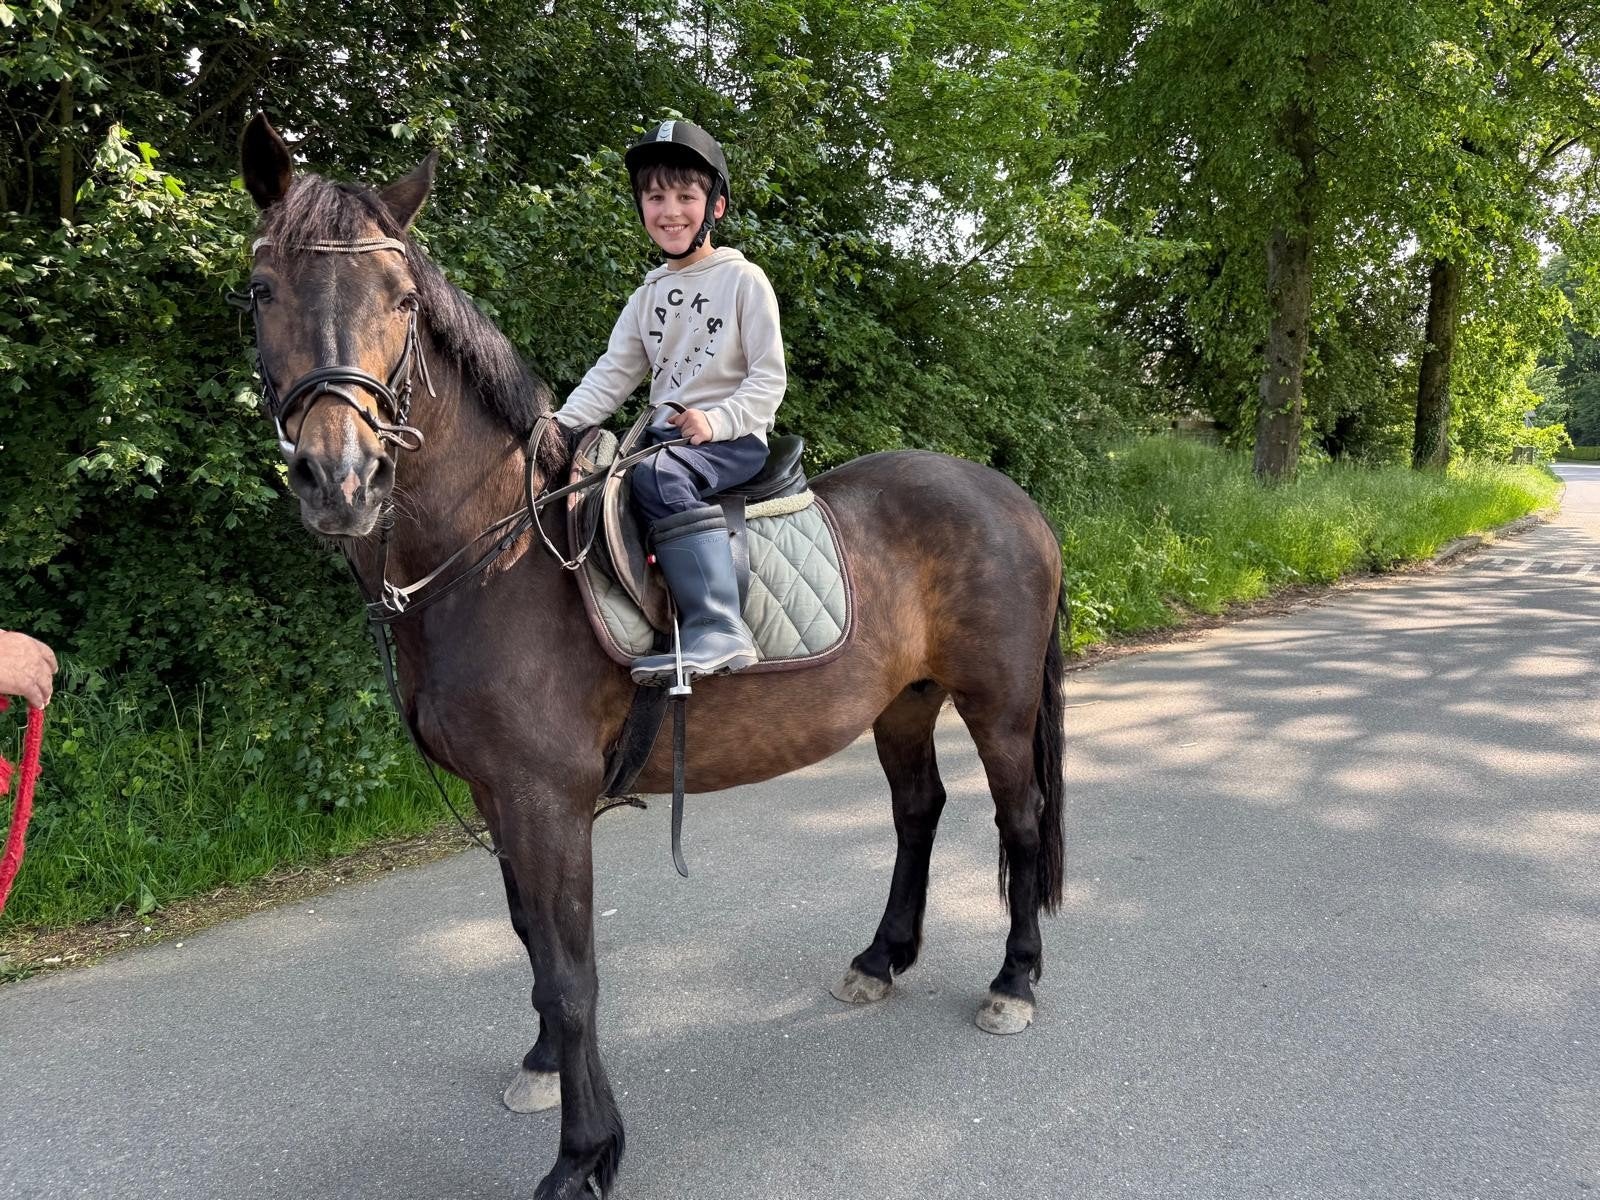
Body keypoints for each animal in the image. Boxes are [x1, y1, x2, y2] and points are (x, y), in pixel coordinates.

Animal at [237, 114, 1067, 1200]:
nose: (341, 479)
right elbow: (531, 940)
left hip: (998, 702)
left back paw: (1013, 981)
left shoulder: (546, 797)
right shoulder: (500, 795)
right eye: (261, 290)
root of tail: (1009, 498)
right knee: (918, 811)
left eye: (403, 300)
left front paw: (585, 1154)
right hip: (903, 700)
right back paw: (881, 959)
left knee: (1019, 820)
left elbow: (574, 971)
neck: (493, 561)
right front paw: (545, 1066)